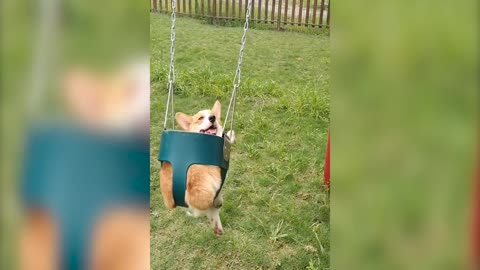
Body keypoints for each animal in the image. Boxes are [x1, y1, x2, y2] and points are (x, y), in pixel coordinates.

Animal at [160, 100, 235, 235]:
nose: (213, 117)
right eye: (200, 118)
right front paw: (230, 135)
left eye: (213, 115)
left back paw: (218, 228)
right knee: (214, 204)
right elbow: (227, 138)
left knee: (213, 212)